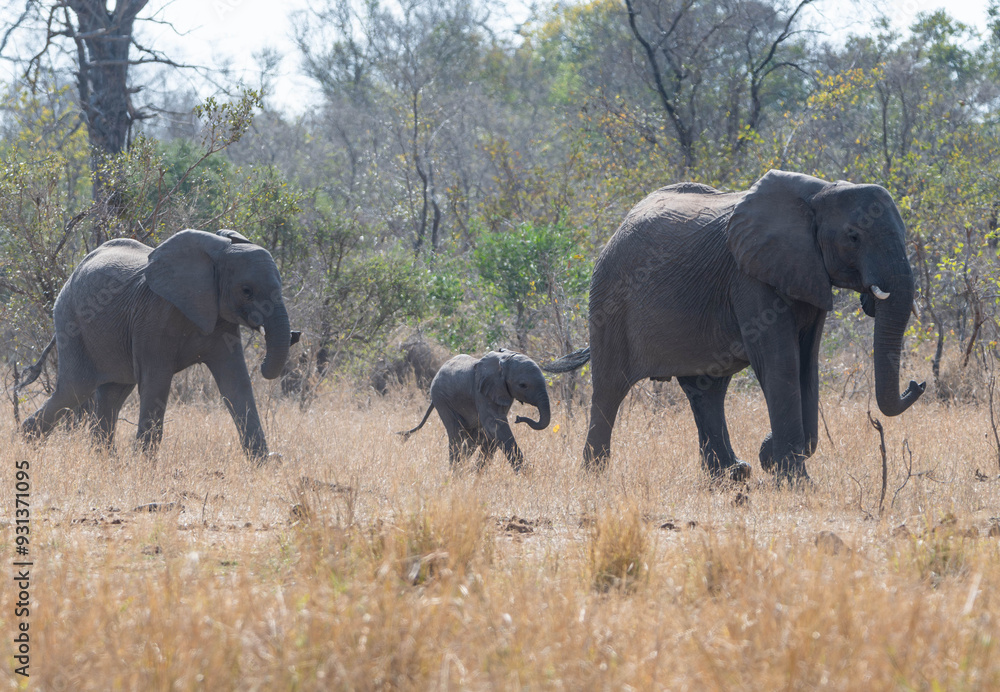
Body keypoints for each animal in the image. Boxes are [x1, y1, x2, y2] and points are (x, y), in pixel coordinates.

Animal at [18, 229, 297, 461]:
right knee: (75, 388)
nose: (295, 335)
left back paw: (106, 462)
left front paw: (263, 462)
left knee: (111, 393)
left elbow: (235, 383)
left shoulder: (221, 320)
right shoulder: (154, 317)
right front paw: (143, 465)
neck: (217, 254)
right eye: (247, 290)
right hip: (72, 321)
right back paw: (27, 442)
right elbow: (156, 383)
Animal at [397, 349, 551, 472]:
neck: (503, 361)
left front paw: (477, 473)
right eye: (523, 385)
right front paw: (527, 474)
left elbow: (491, 432)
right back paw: (455, 473)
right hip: (440, 398)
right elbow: (495, 426)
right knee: (456, 436)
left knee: (472, 438)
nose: (518, 418)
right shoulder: (482, 392)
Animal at [545, 169, 925, 482]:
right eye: (853, 236)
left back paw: (732, 475)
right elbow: (780, 362)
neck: (820, 192)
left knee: (706, 388)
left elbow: (808, 363)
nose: (917, 384)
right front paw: (793, 480)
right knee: (610, 387)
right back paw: (595, 476)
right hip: (609, 297)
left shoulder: (808, 272)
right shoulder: (749, 276)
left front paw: (776, 459)